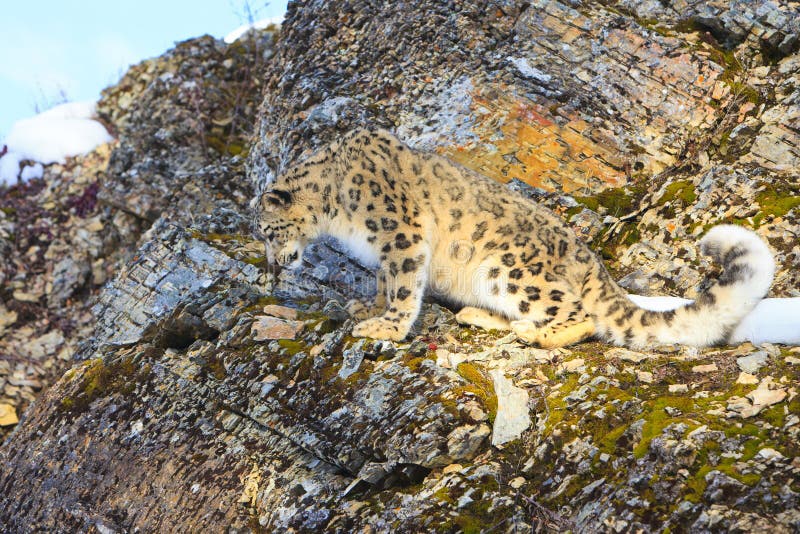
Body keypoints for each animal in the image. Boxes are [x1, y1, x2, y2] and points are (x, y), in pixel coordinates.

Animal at [256, 127, 775, 349]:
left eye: (267, 231)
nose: (276, 263)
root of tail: (595, 264)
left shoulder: (401, 235)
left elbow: (403, 286)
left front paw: (386, 326)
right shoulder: (385, 249)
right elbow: (385, 282)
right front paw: (368, 308)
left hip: (509, 268)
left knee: (580, 313)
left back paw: (536, 333)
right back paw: (481, 318)